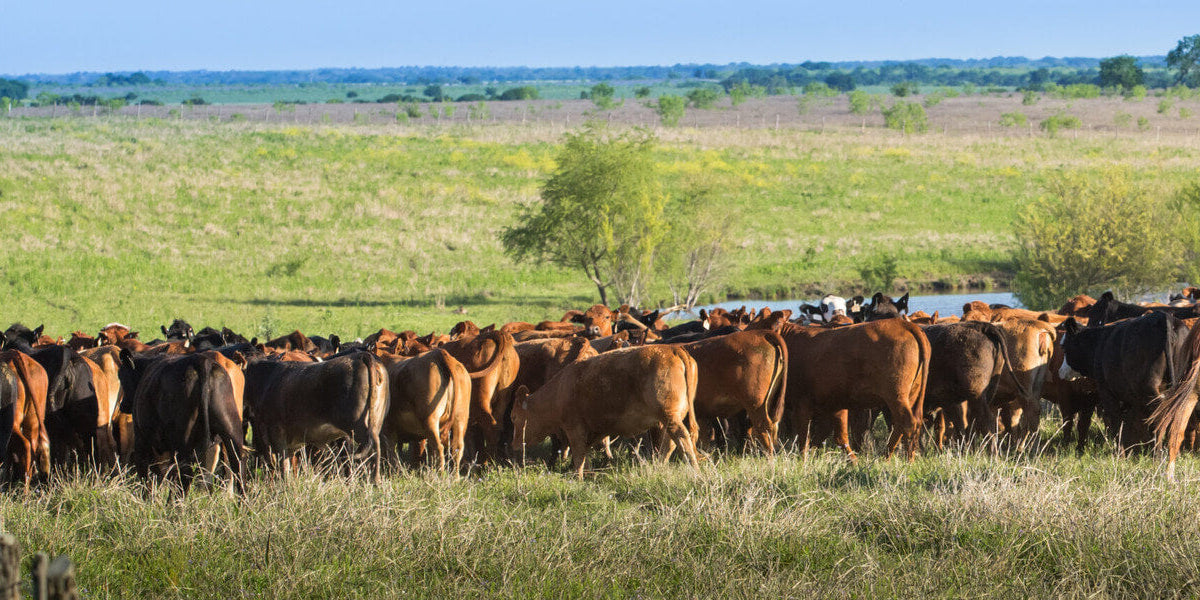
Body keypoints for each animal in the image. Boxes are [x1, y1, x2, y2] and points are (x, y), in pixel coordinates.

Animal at [510, 345, 700, 477]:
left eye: (513, 417)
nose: (514, 446)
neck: (561, 389)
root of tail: (673, 349)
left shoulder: (574, 427)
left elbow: (578, 454)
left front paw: (578, 477)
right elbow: (585, 454)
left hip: (669, 416)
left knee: (682, 438)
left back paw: (695, 469)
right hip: (671, 417)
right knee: (671, 443)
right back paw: (659, 466)